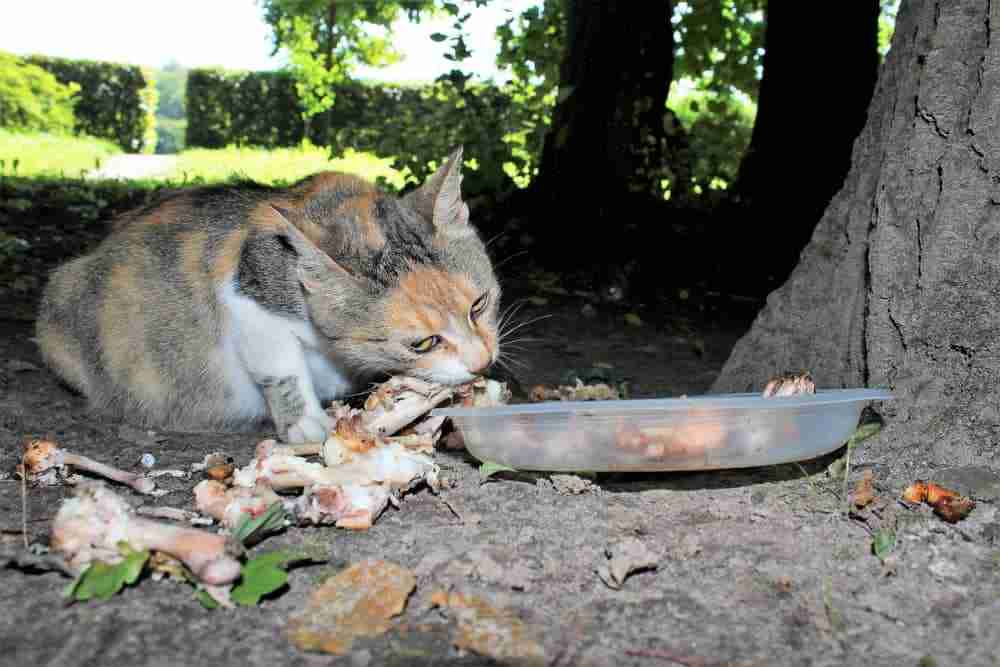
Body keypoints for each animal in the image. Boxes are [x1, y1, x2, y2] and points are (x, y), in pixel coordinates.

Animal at [37, 149, 500, 446]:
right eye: (422, 343)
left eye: (479, 305)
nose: (482, 361)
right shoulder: (247, 301)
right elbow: (281, 368)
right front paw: (306, 425)